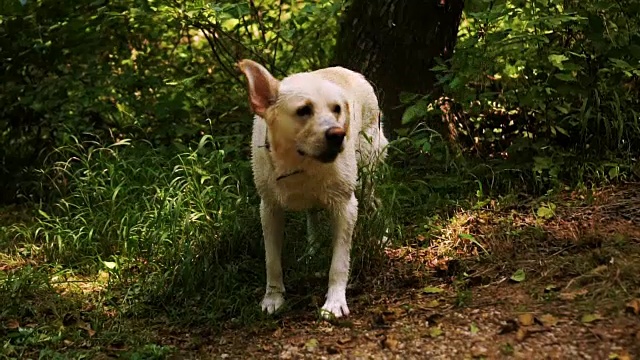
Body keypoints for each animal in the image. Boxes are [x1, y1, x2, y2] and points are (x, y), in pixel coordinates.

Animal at [238, 59, 388, 318]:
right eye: (303, 110)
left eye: (336, 109)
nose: (338, 135)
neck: (300, 165)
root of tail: (355, 74)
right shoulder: (269, 209)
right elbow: (272, 261)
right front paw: (273, 298)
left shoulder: (346, 206)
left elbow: (339, 263)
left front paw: (335, 302)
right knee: (312, 214)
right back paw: (312, 250)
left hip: (367, 172)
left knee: (375, 202)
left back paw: (383, 238)